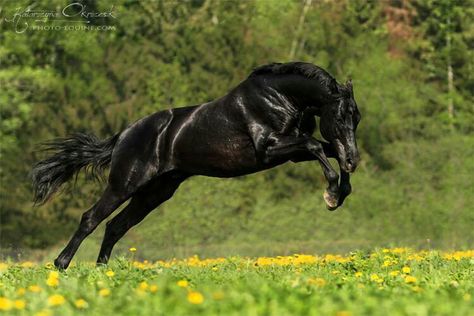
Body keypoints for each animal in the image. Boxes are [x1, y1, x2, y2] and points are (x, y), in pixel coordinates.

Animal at [31, 61, 362, 270]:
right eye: (339, 116)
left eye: (356, 117)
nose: (355, 159)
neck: (279, 97)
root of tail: (124, 134)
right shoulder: (270, 148)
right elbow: (317, 146)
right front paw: (331, 195)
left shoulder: (291, 151)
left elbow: (326, 149)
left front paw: (341, 190)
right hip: (125, 184)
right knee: (91, 218)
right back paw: (61, 265)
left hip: (155, 192)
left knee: (115, 226)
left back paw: (103, 271)